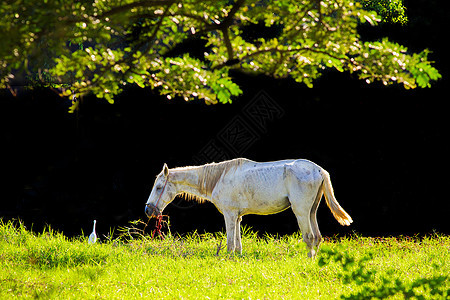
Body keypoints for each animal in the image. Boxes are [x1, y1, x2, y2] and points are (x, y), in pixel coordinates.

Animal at [145, 158, 352, 256]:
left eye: (159, 187)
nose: (148, 210)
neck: (218, 178)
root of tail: (318, 170)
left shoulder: (229, 215)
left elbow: (230, 243)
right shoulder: (237, 216)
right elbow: (238, 242)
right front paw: (238, 258)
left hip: (301, 212)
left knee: (309, 237)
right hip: (311, 211)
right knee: (317, 237)